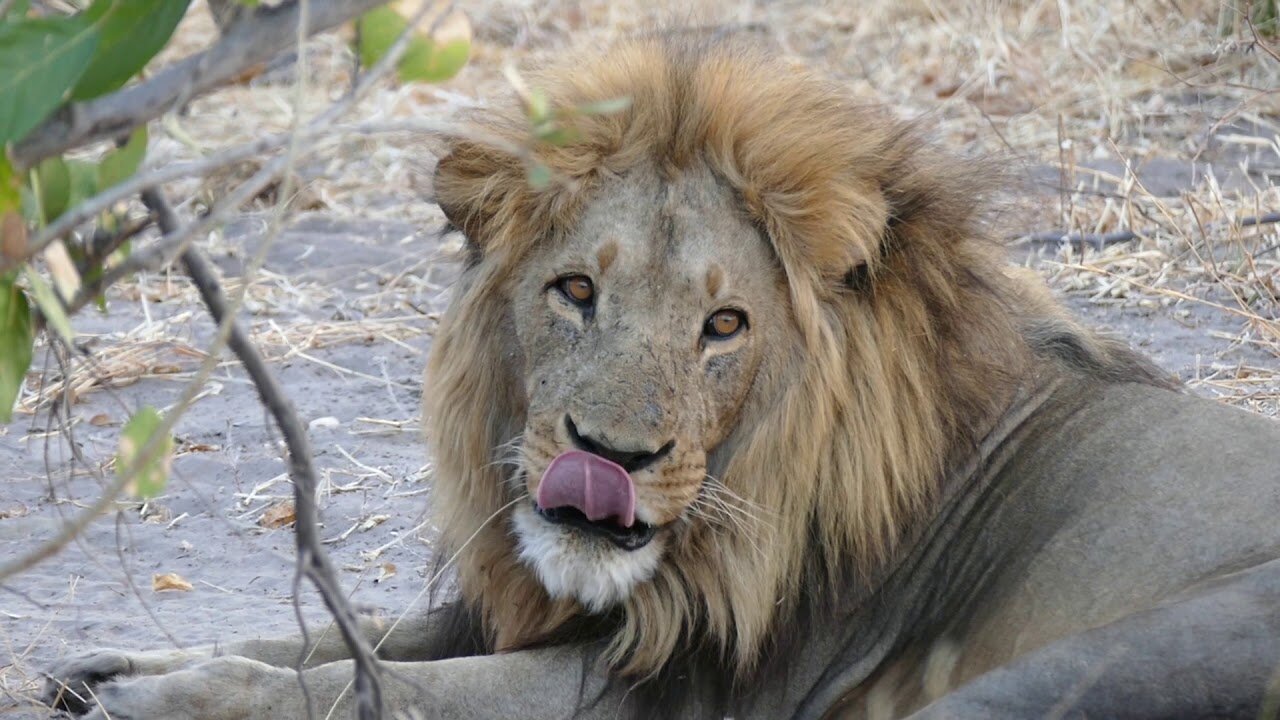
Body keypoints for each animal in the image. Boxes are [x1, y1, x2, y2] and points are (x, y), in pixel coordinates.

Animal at [40, 33, 1280, 717]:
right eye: (575, 292)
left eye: (723, 325)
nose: (609, 459)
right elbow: (338, 638)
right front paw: (100, 668)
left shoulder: (660, 696)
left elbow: (364, 684)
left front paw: (152, 700)